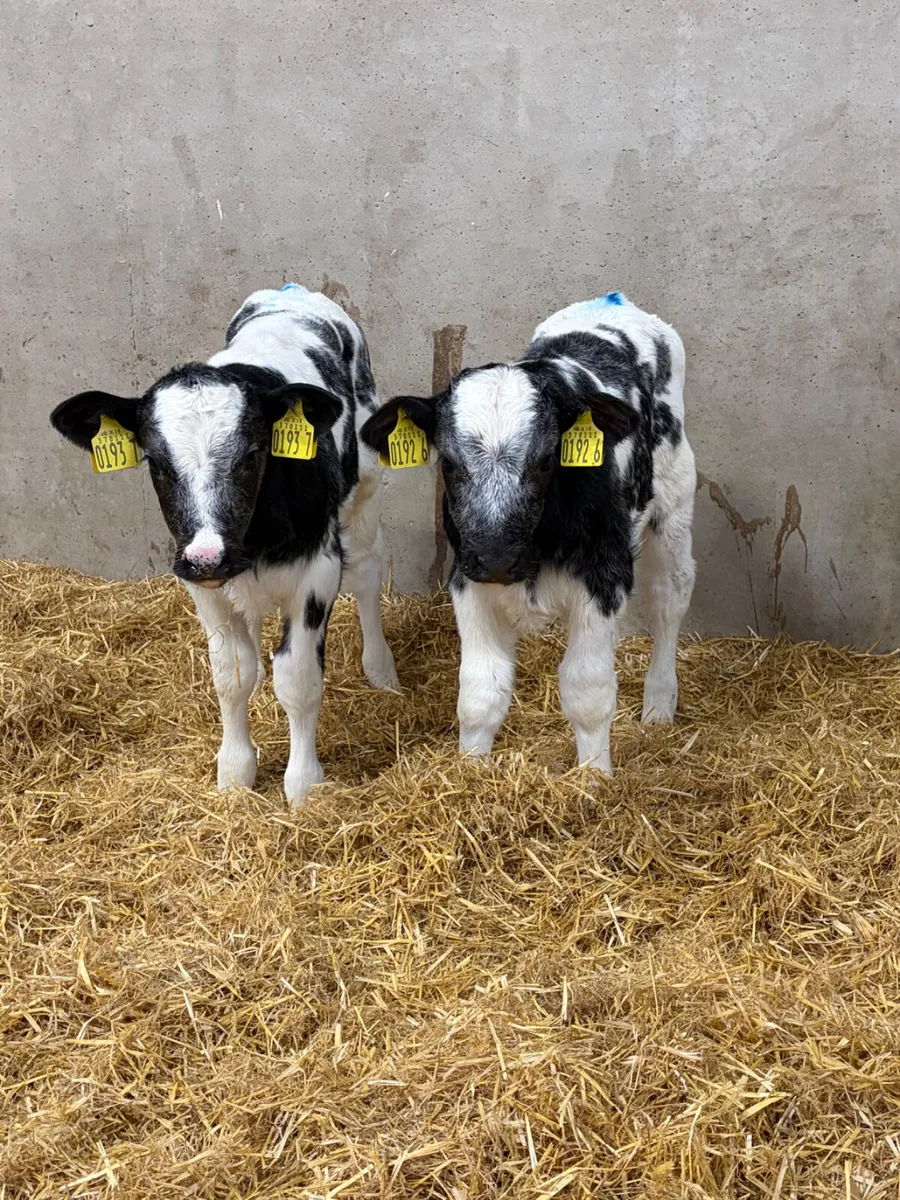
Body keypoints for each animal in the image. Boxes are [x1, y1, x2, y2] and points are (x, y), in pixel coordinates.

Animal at [51, 283, 398, 805]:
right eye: (156, 463)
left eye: (252, 454)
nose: (209, 556)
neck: (253, 541)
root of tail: (293, 291)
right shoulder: (199, 582)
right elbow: (231, 674)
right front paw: (235, 774)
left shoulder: (317, 570)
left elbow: (298, 679)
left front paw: (303, 786)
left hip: (365, 492)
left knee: (368, 575)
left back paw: (381, 670)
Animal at [361, 292, 695, 776]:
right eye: (449, 464)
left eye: (544, 460)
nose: (498, 559)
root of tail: (613, 301)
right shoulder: (467, 578)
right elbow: (480, 693)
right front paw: (471, 772)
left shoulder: (605, 577)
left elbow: (588, 692)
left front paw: (594, 779)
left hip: (675, 504)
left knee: (670, 597)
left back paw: (658, 707)